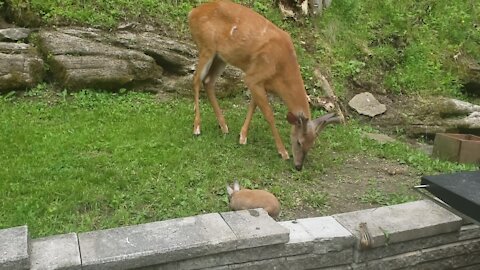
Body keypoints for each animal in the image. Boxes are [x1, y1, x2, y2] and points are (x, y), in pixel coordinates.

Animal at [187, 0, 338, 171]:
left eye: (311, 144)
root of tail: (192, 13)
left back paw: (224, 126)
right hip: (206, 47)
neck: (280, 66)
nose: (299, 166)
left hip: (221, 56)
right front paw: (283, 152)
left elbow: (253, 107)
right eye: (299, 142)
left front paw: (242, 136)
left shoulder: (261, 83)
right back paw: (197, 127)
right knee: (196, 79)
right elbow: (269, 115)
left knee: (208, 81)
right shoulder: (253, 77)